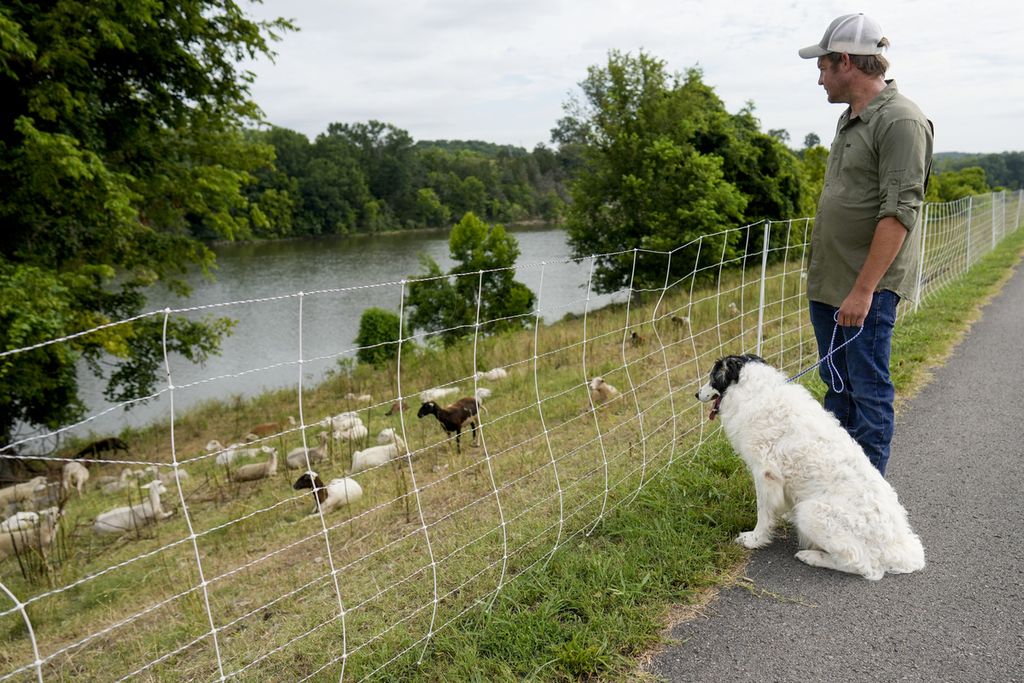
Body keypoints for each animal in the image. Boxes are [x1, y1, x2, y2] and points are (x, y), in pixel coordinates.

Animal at [696, 356, 929, 581]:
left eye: (712, 377)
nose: (696, 394)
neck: (754, 390)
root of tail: (900, 550)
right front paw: (783, 515)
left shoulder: (765, 474)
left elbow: (763, 513)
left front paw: (754, 539)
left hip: (811, 512)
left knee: (864, 566)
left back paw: (812, 557)